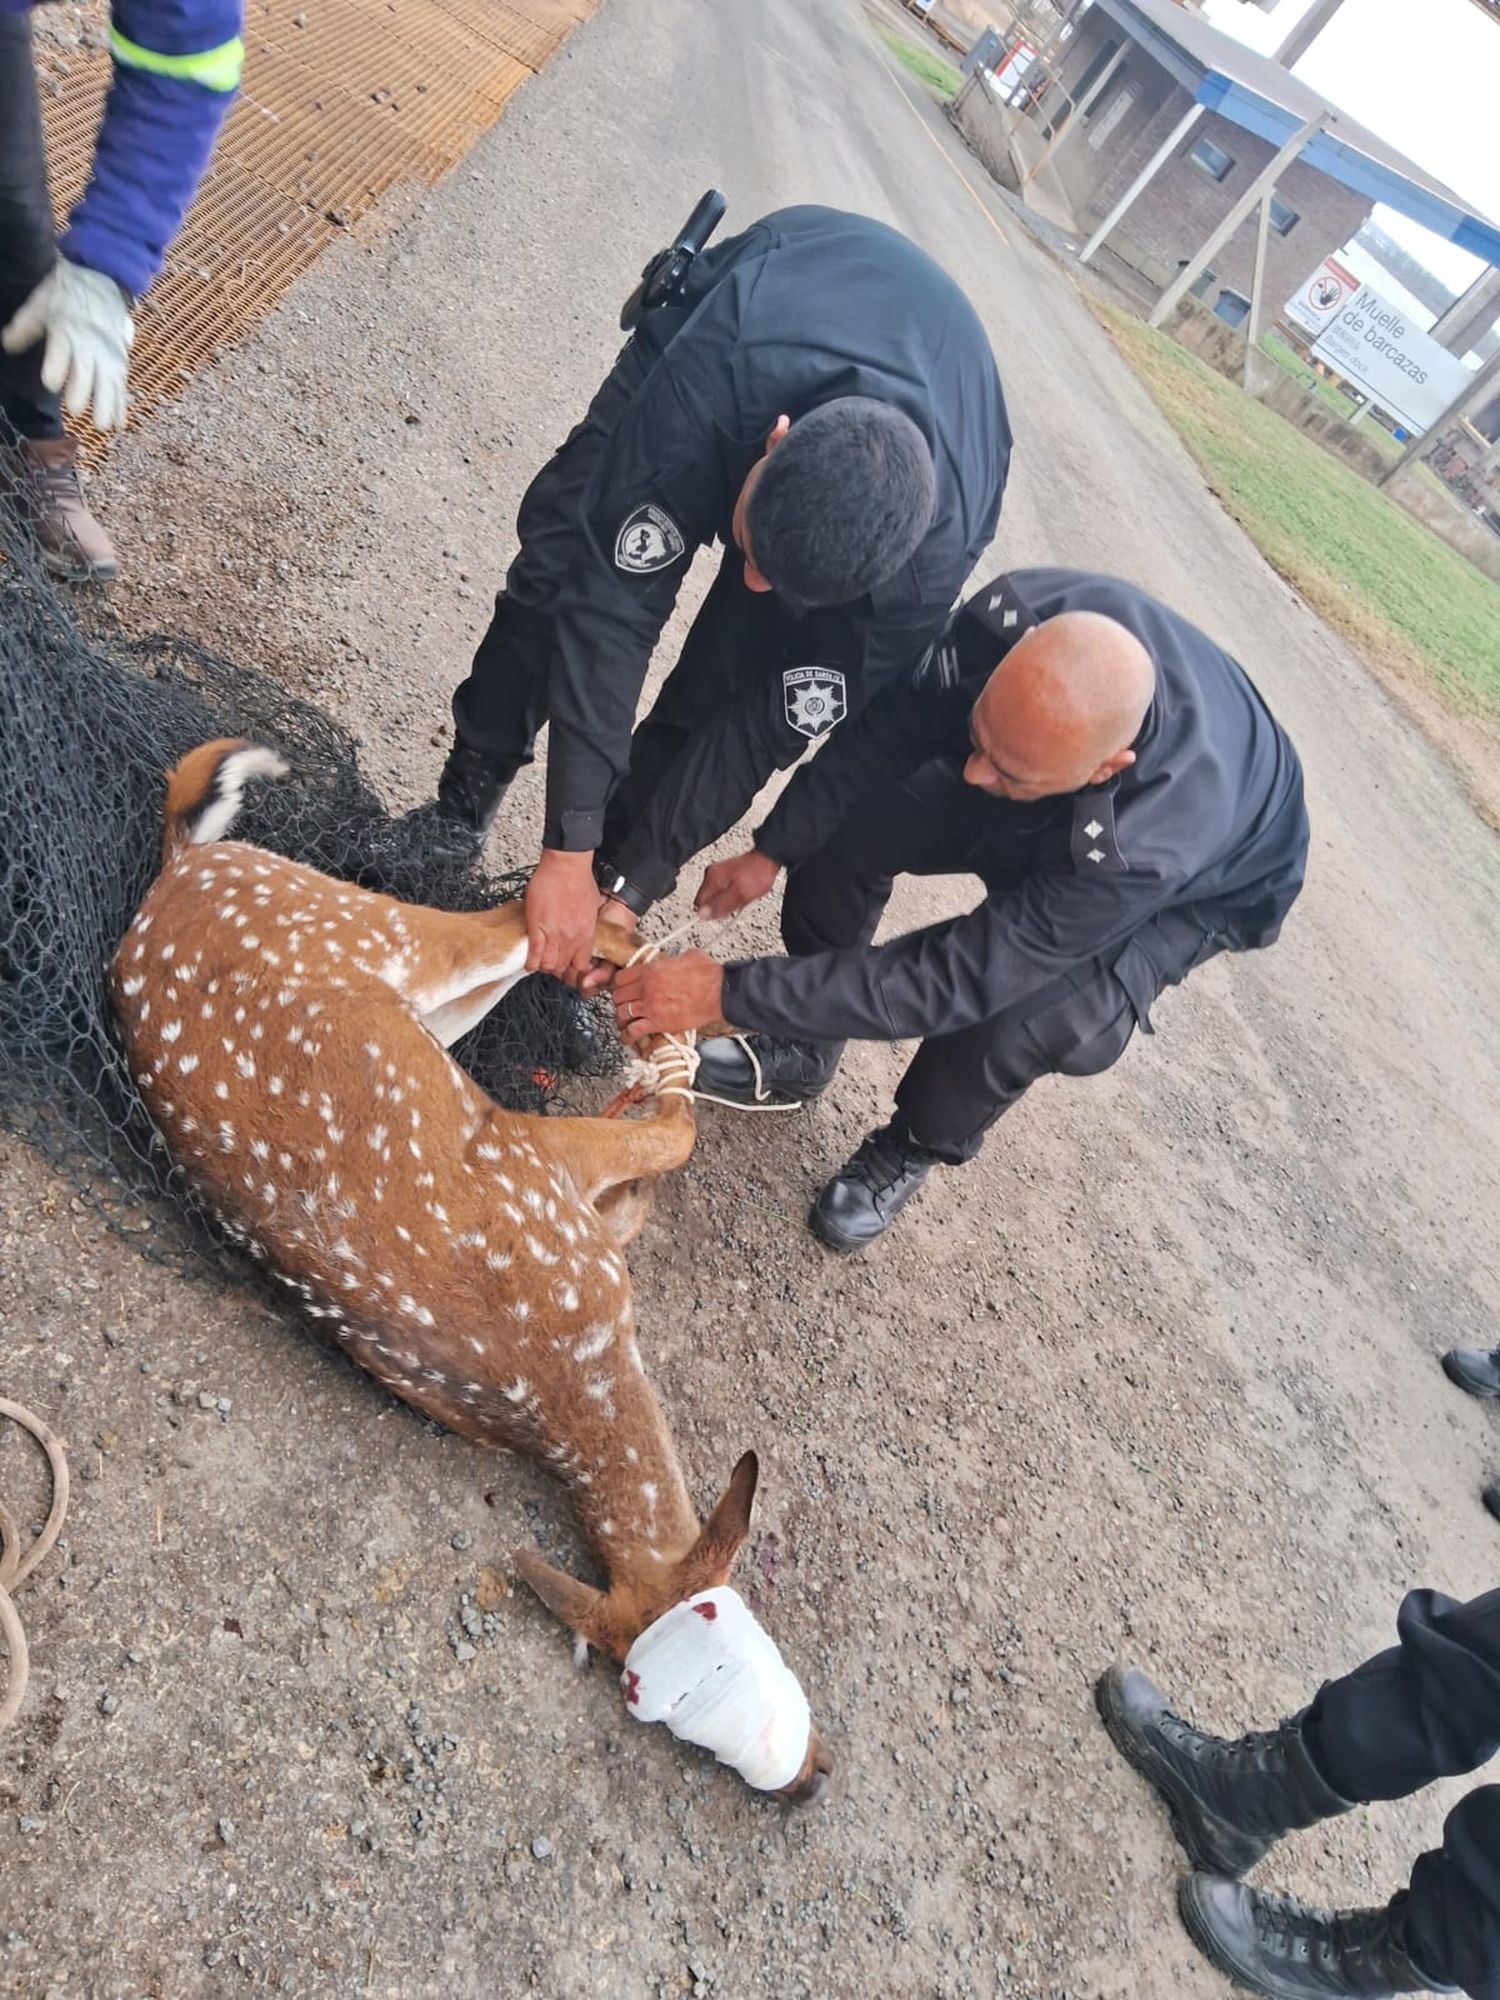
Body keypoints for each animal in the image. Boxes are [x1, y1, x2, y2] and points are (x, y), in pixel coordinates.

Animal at [106, 744, 836, 1808]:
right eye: (674, 1698)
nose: (806, 1784)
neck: (557, 1369)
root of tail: (176, 870)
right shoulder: (532, 1162)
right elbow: (673, 1135)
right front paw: (663, 1082)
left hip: (415, 999)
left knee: (520, 943)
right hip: (370, 934)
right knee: (516, 920)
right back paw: (627, 947)